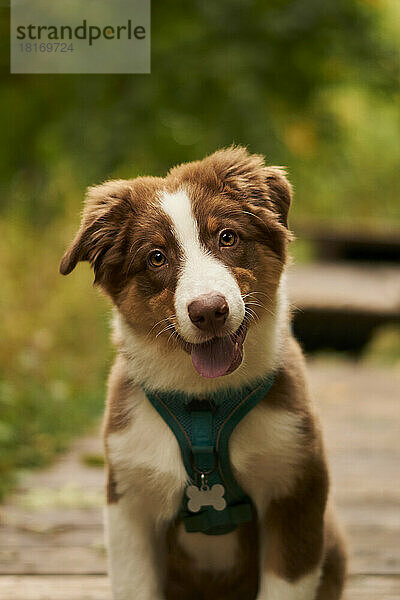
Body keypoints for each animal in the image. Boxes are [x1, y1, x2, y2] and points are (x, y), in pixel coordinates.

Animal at [61, 146, 346, 600]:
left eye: (227, 237)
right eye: (156, 257)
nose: (209, 311)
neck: (203, 399)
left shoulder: (296, 485)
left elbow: (284, 585)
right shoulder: (130, 496)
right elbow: (135, 584)